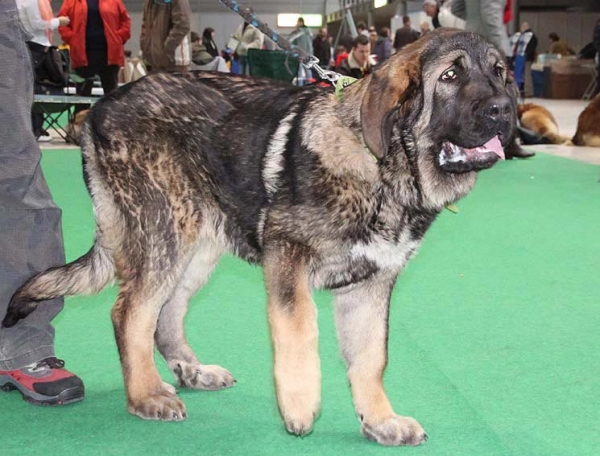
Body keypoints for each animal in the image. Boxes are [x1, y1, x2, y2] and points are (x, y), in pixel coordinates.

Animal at [3, 27, 516, 446]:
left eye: (499, 73)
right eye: (450, 75)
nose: (504, 110)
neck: (384, 167)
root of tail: (99, 108)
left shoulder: (370, 287)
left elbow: (371, 358)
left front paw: (379, 420)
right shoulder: (287, 259)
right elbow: (300, 332)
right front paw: (300, 404)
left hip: (198, 247)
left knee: (166, 313)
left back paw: (191, 371)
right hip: (163, 233)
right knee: (129, 313)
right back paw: (146, 394)